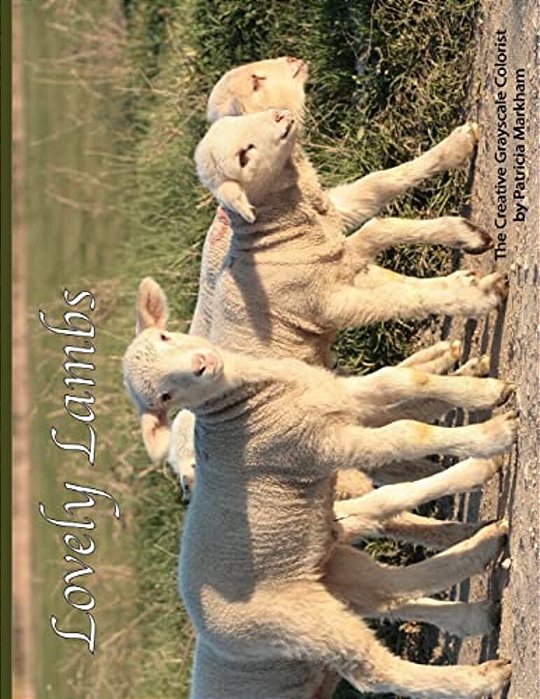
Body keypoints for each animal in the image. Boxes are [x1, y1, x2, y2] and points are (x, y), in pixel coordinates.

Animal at [123, 323, 515, 699]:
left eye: (164, 336)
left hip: (329, 569)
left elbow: (398, 381)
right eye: (165, 397)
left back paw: (482, 575)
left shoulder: (338, 398)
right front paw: (494, 433)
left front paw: (486, 388)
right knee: (375, 668)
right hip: (294, 622)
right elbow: (405, 432)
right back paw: (484, 674)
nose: (203, 364)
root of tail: (206, 629)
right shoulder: (319, 445)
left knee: (387, 588)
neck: (251, 401)